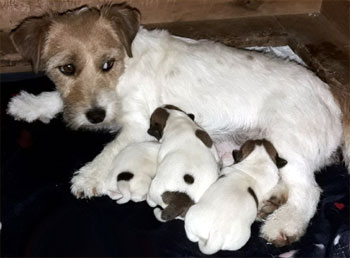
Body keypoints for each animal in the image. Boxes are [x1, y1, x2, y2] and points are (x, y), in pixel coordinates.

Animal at [9, 3, 346, 246]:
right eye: (66, 68)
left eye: (108, 64)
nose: (95, 116)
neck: (125, 67)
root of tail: (333, 101)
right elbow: (58, 97)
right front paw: (30, 104)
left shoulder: (137, 124)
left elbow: (111, 148)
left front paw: (90, 174)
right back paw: (273, 202)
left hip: (286, 141)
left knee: (309, 191)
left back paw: (285, 224)